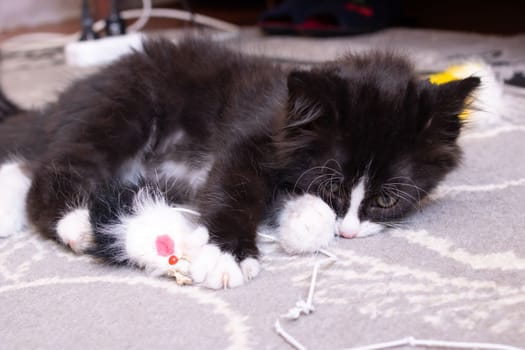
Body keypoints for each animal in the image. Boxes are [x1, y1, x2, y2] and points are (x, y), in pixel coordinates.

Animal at [0, 38, 476, 288]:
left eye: (386, 201)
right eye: (334, 186)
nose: (350, 233)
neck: (285, 114)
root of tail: (71, 96)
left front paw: (305, 222)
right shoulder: (249, 137)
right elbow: (235, 185)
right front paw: (225, 253)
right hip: (123, 107)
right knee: (52, 166)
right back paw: (77, 222)